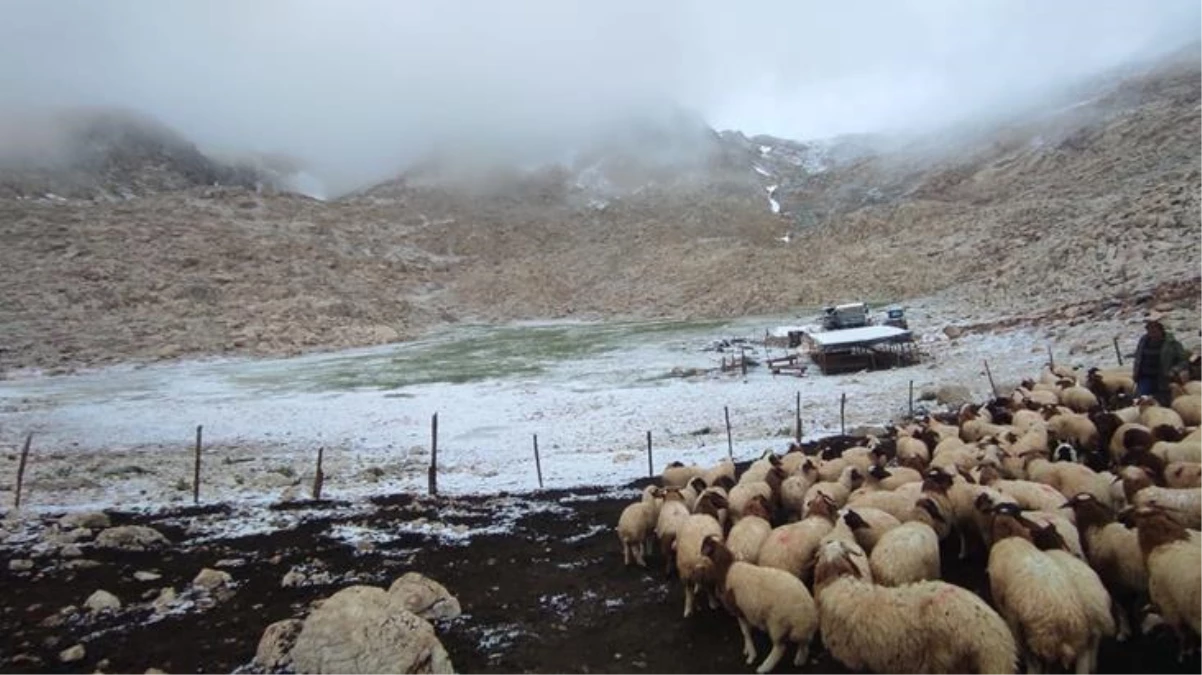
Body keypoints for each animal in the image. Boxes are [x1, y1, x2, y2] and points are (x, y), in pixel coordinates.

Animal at [701, 533, 822, 667]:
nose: (699, 554)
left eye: (704, 545)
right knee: (803, 642)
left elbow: (745, 633)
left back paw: (764, 667)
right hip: (795, 628)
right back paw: (800, 659)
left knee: (780, 648)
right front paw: (747, 650)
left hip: (777, 622)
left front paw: (751, 654)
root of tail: (808, 613)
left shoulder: (739, 610)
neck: (727, 570)